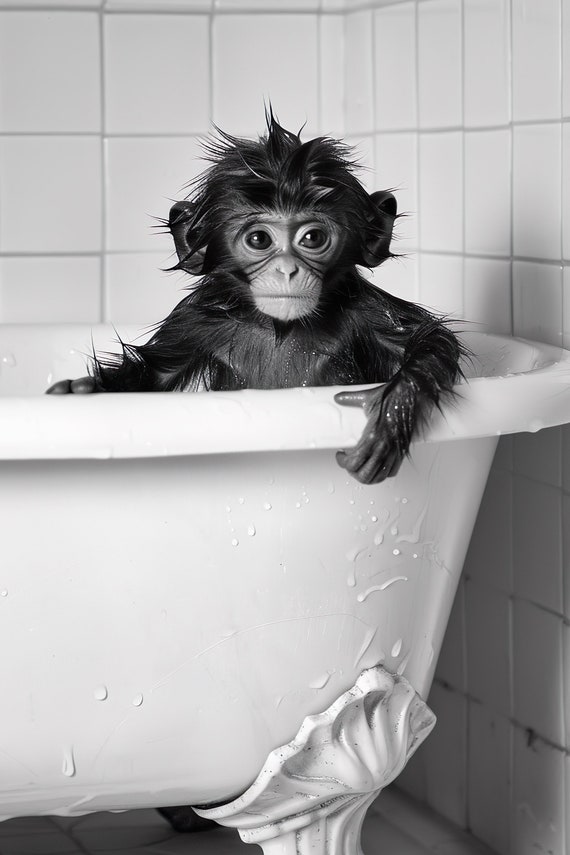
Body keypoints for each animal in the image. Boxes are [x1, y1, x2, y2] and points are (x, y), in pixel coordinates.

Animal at [47, 110, 463, 486]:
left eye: (312, 238)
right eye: (259, 239)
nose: (287, 270)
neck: (278, 326)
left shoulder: (366, 307)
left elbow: (429, 340)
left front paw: (393, 406)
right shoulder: (193, 320)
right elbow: (156, 374)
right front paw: (87, 388)